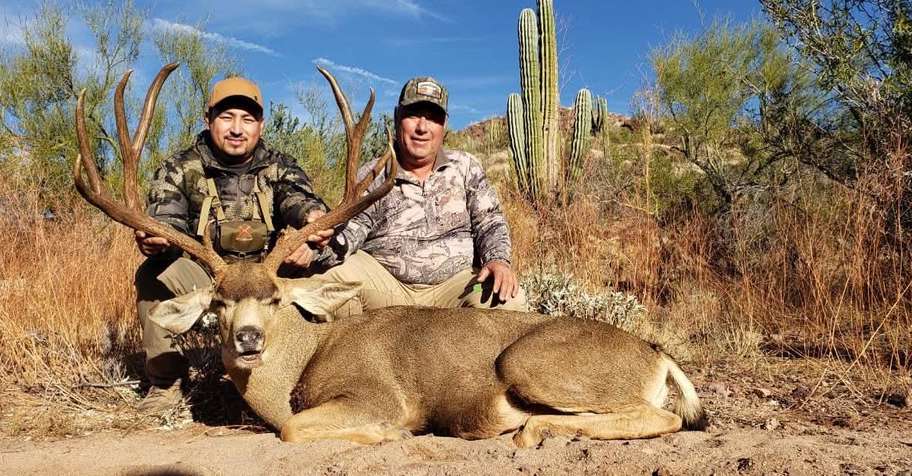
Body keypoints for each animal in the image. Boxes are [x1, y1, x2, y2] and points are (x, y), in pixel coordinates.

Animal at [74, 63, 707, 448]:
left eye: (275, 298)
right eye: (219, 304)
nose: (248, 339)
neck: (302, 363)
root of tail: (657, 355)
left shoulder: (371, 395)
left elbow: (294, 430)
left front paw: (393, 436)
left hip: (530, 363)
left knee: (664, 415)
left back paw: (532, 430)